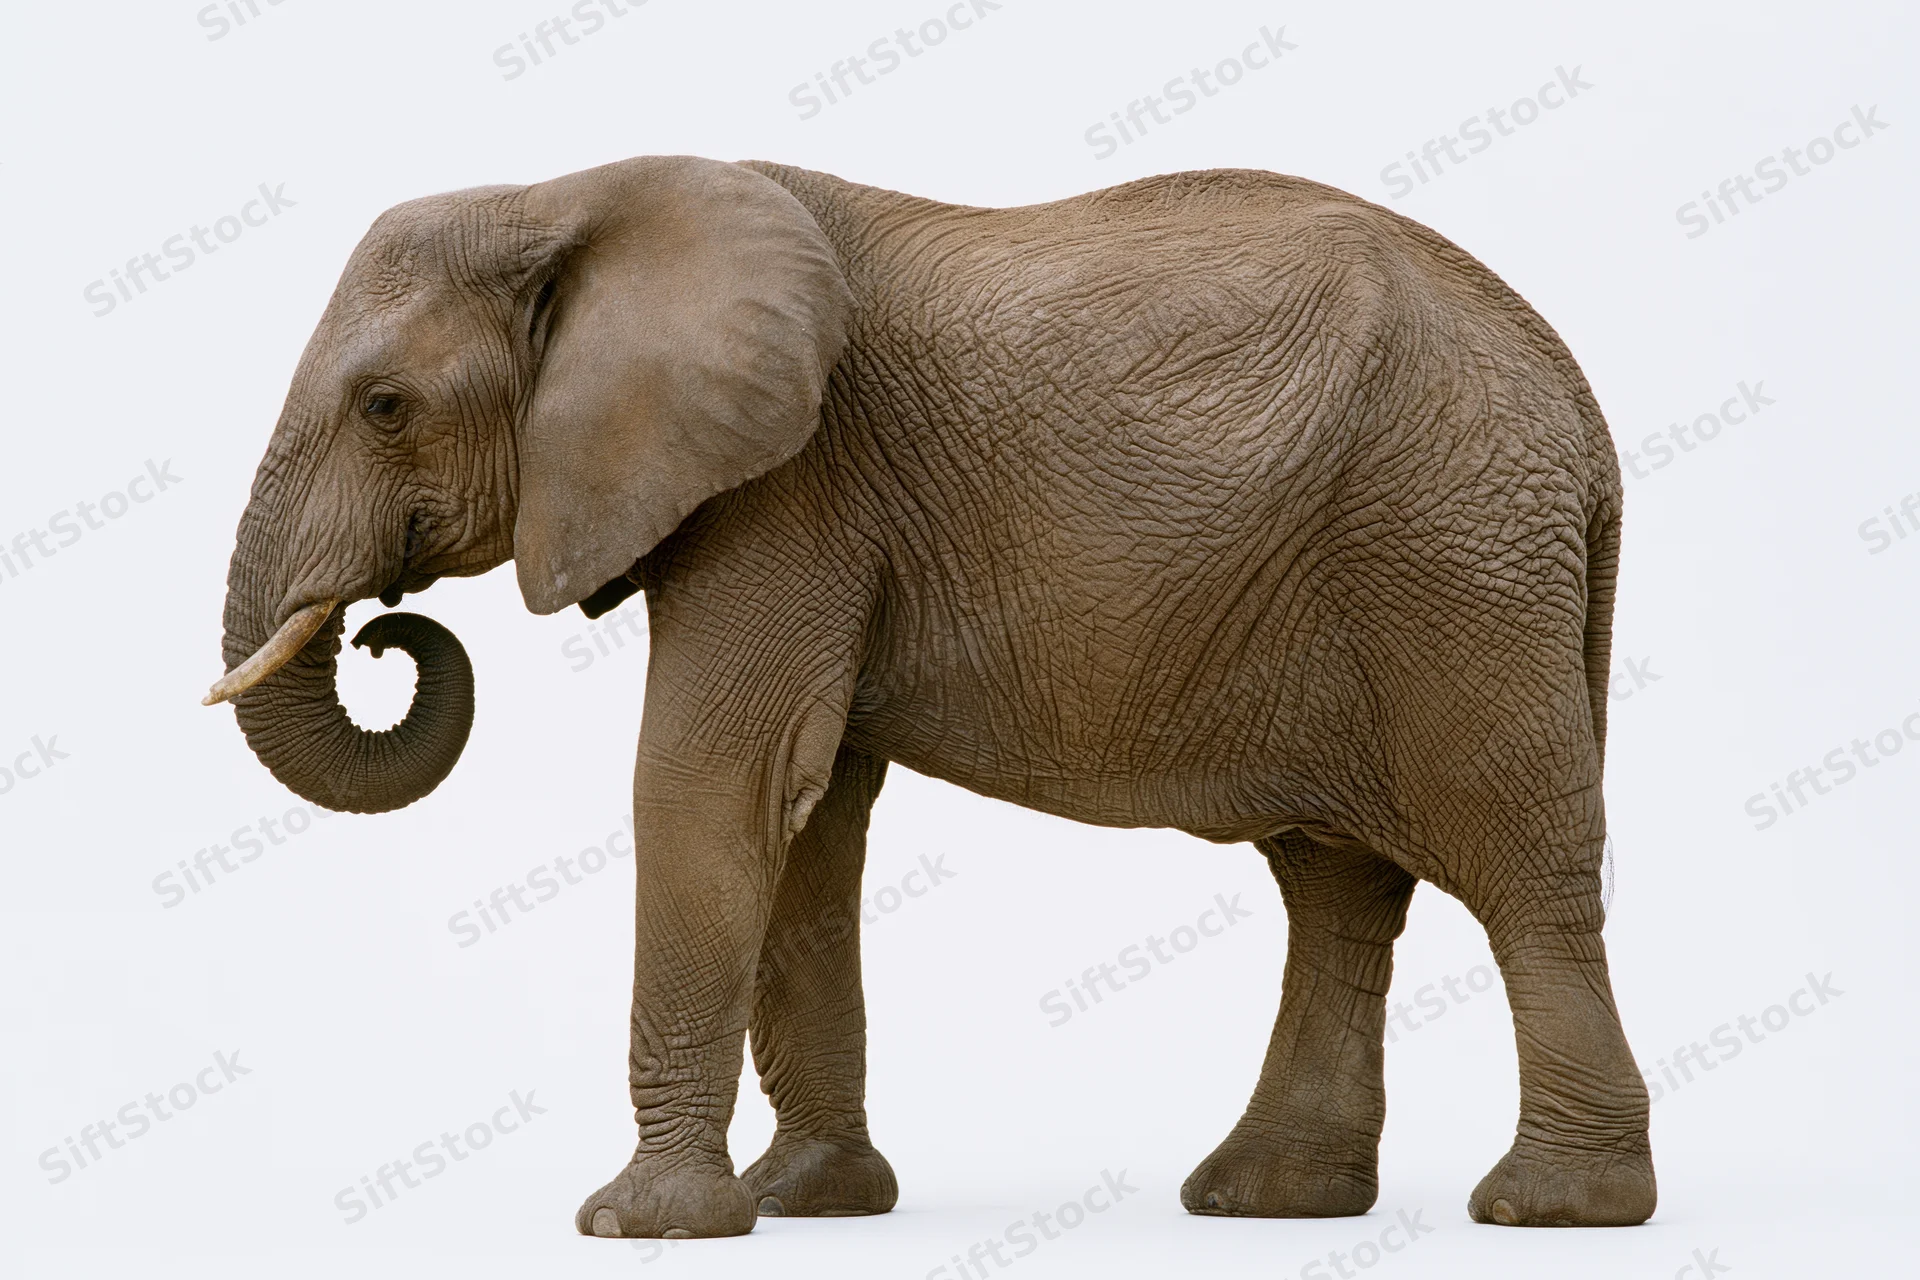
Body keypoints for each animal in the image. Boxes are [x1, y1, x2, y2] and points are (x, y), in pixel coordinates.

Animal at [207, 155, 1651, 1236]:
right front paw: (809, 1202)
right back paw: (1268, 1198)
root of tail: (1585, 420)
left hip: (1452, 561)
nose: (387, 632)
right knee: (1336, 879)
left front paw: (641, 1223)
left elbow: (709, 784)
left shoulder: (792, 486)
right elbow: (807, 815)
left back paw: (1551, 1208)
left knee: (1520, 865)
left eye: (385, 405)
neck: (570, 191)